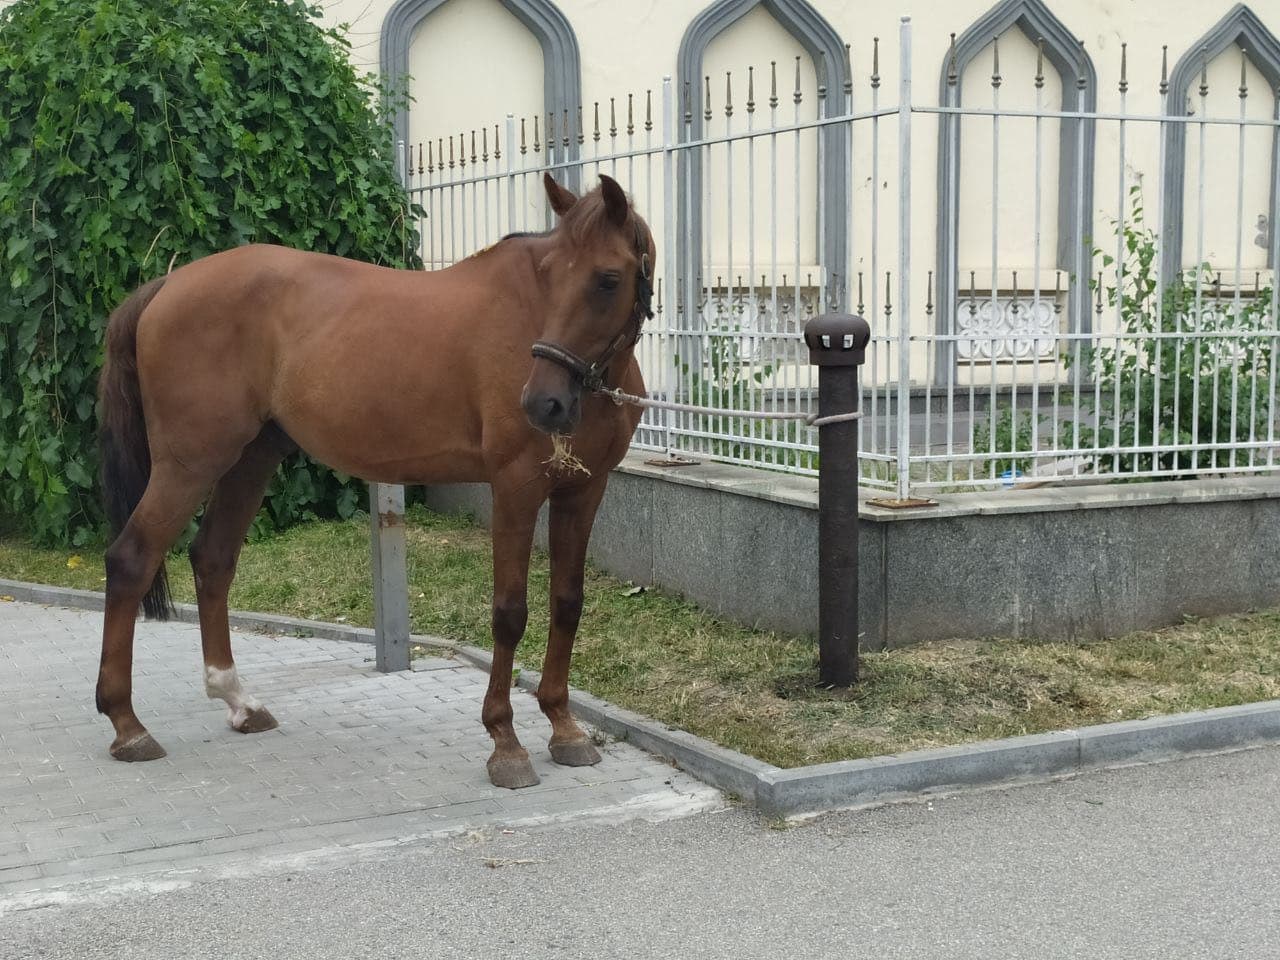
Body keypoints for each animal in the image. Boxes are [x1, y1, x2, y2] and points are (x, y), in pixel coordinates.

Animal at [94, 172, 650, 788]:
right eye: (548, 274)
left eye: (607, 279)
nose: (543, 404)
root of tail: (165, 286)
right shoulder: (515, 489)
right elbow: (509, 613)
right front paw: (505, 743)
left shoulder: (583, 490)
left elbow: (567, 603)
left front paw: (565, 728)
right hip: (188, 465)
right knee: (131, 560)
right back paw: (127, 725)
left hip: (248, 460)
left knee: (212, 559)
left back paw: (238, 702)